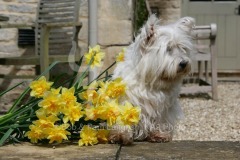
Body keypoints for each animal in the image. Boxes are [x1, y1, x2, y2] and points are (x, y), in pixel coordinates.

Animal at [109, 15, 195, 144]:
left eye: (182, 48)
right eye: (168, 49)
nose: (184, 63)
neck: (151, 81)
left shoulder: (164, 108)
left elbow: (161, 120)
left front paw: (159, 135)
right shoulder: (125, 101)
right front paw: (120, 135)